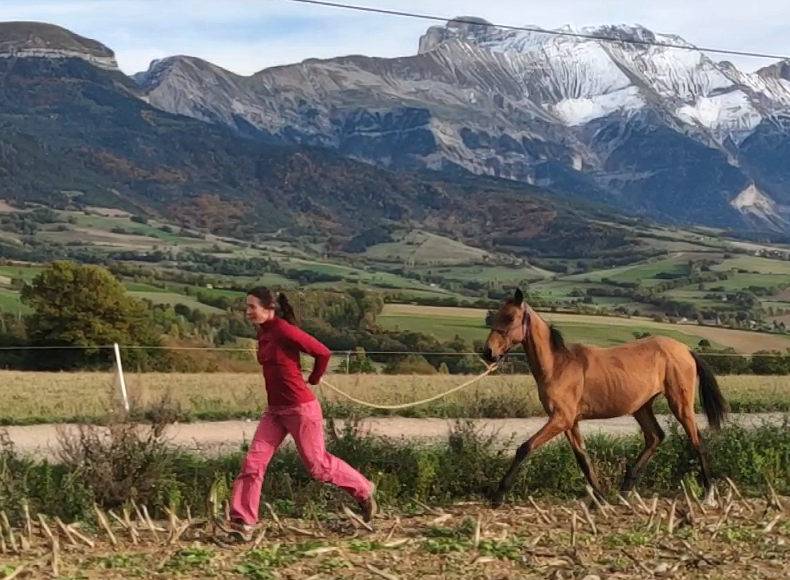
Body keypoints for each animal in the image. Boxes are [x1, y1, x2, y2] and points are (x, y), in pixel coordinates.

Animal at [483, 288, 728, 506]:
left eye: (510, 317)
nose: (488, 352)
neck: (558, 365)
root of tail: (686, 350)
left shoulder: (561, 418)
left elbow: (525, 447)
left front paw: (498, 497)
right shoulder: (570, 422)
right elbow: (583, 458)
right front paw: (600, 498)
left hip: (680, 404)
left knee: (697, 442)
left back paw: (708, 496)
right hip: (641, 407)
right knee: (655, 437)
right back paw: (624, 491)